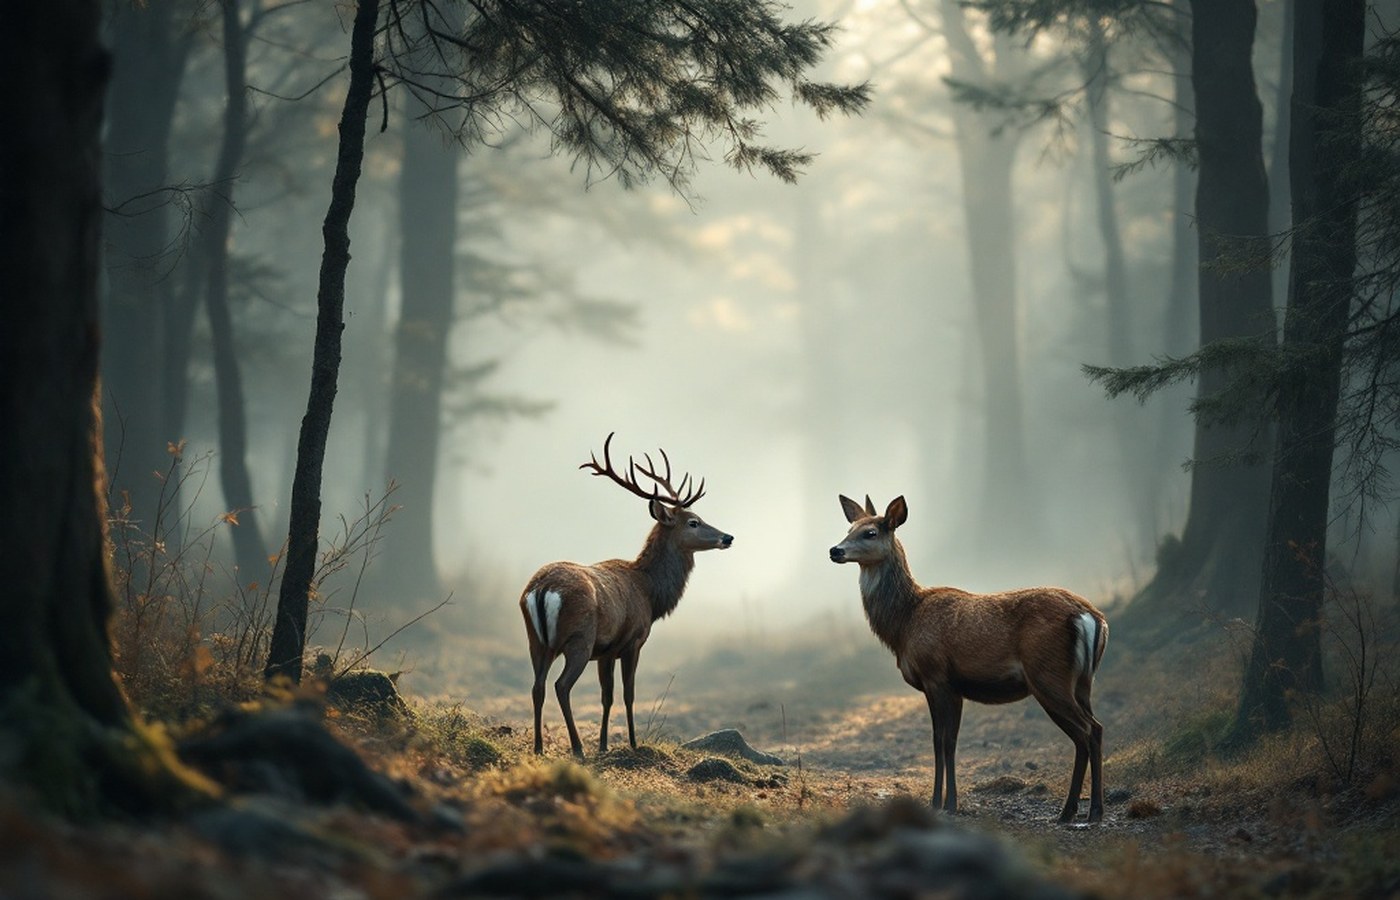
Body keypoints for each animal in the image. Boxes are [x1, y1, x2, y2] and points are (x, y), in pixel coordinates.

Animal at [520, 433, 733, 758]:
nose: (728, 537)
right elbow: (629, 694)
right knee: (561, 686)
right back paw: (577, 748)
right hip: (579, 639)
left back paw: (539, 748)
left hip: (536, 640)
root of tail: (542, 589)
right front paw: (632, 743)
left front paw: (604, 745)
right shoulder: (633, 640)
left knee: (537, 686)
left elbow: (607, 696)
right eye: (693, 521)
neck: (650, 593)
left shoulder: (606, 651)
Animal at [829, 494, 1108, 824]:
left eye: (870, 533)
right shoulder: (951, 686)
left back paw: (1085, 811)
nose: (835, 550)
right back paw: (1078, 811)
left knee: (1087, 730)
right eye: (849, 528)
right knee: (1091, 730)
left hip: (1048, 675)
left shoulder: (936, 675)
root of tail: (1091, 617)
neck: (904, 625)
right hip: (1083, 681)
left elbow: (943, 741)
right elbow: (943, 741)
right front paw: (944, 801)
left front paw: (943, 803)